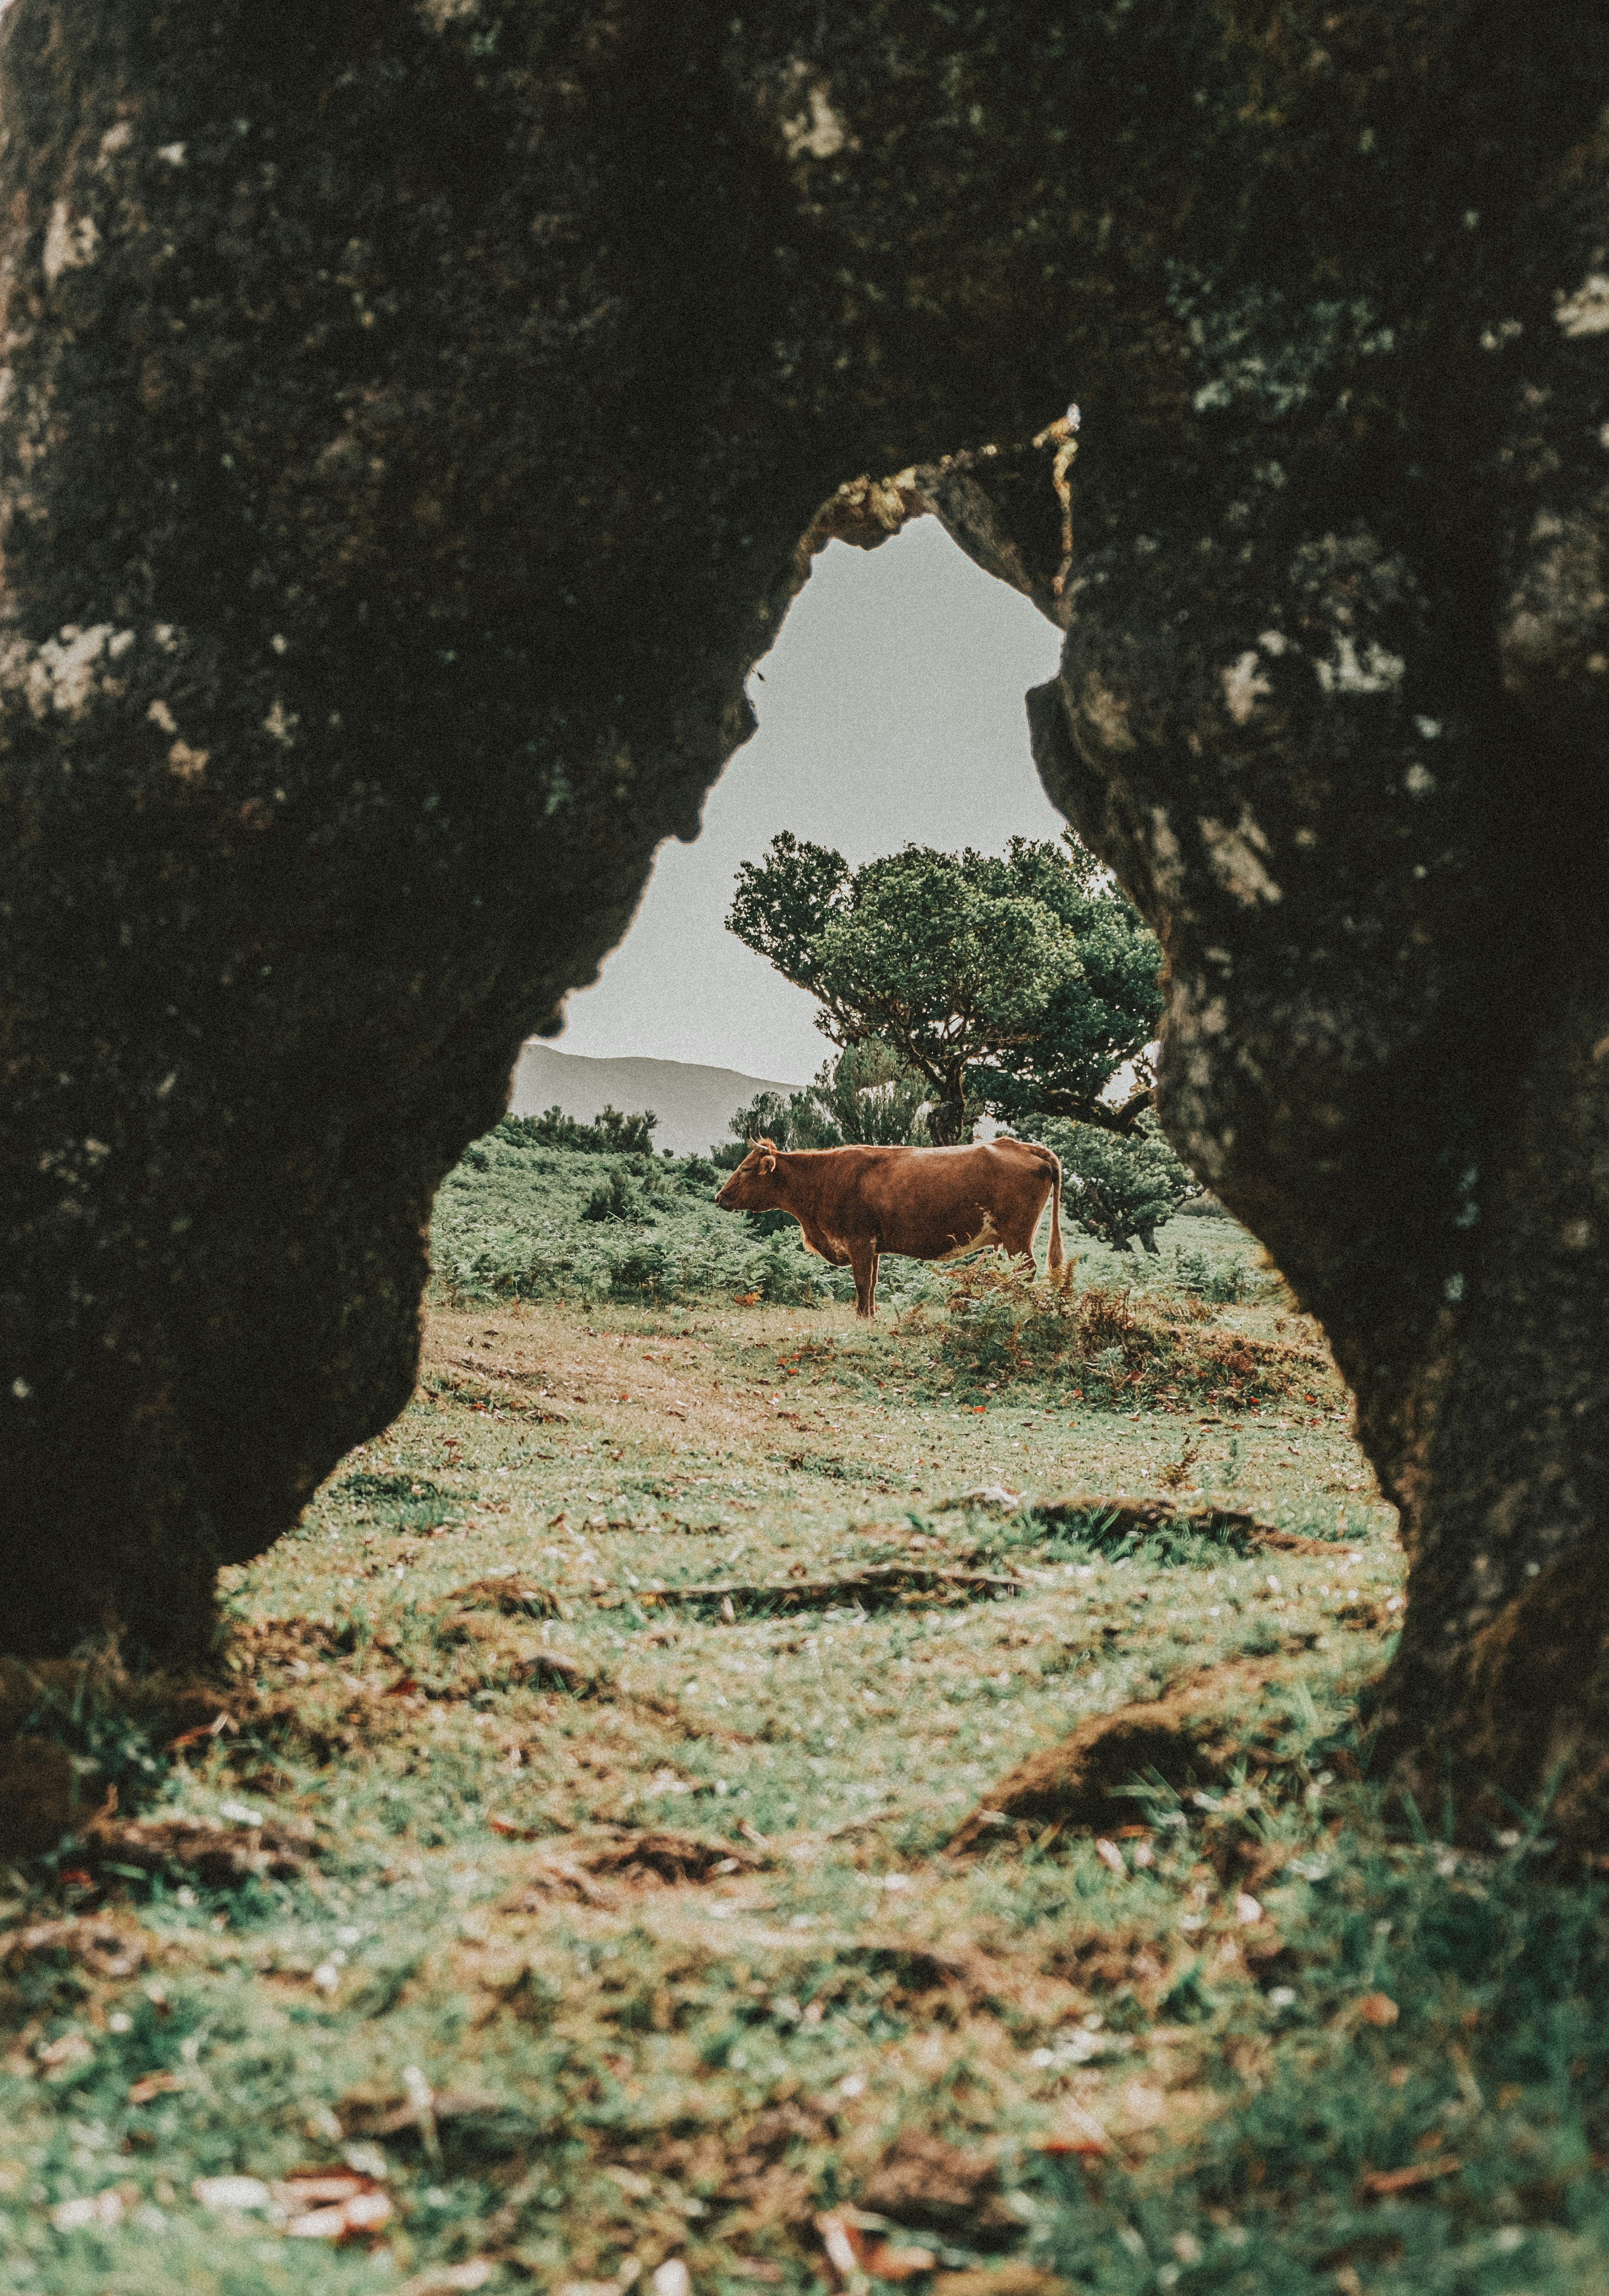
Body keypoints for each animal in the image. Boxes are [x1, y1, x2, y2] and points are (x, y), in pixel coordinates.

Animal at [707, 1134, 1060, 1322]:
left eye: (746, 1168)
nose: (719, 1196)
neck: (823, 1179)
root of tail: (1024, 1146)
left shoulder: (858, 1240)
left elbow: (862, 1282)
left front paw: (862, 1317)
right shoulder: (872, 1245)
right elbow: (874, 1282)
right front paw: (872, 1314)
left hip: (1017, 1236)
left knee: (1027, 1271)